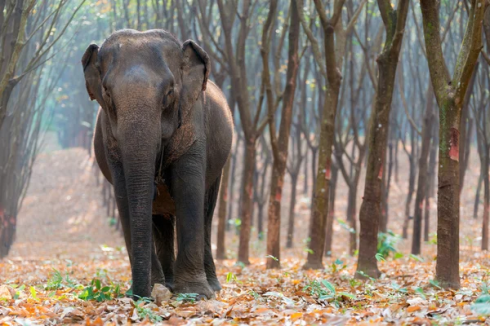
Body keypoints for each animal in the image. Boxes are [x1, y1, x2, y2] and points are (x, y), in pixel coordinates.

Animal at [80, 29, 234, 300]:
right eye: (107, 93)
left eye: (169, 92)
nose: (140, 297)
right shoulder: (111, 141)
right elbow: (124, 196)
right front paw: (153, 289)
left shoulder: (193, 124)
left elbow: (188, 191)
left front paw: (194, 295)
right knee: (161, 219)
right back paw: (167, 285)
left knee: (206, 213)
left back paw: (211, 287)